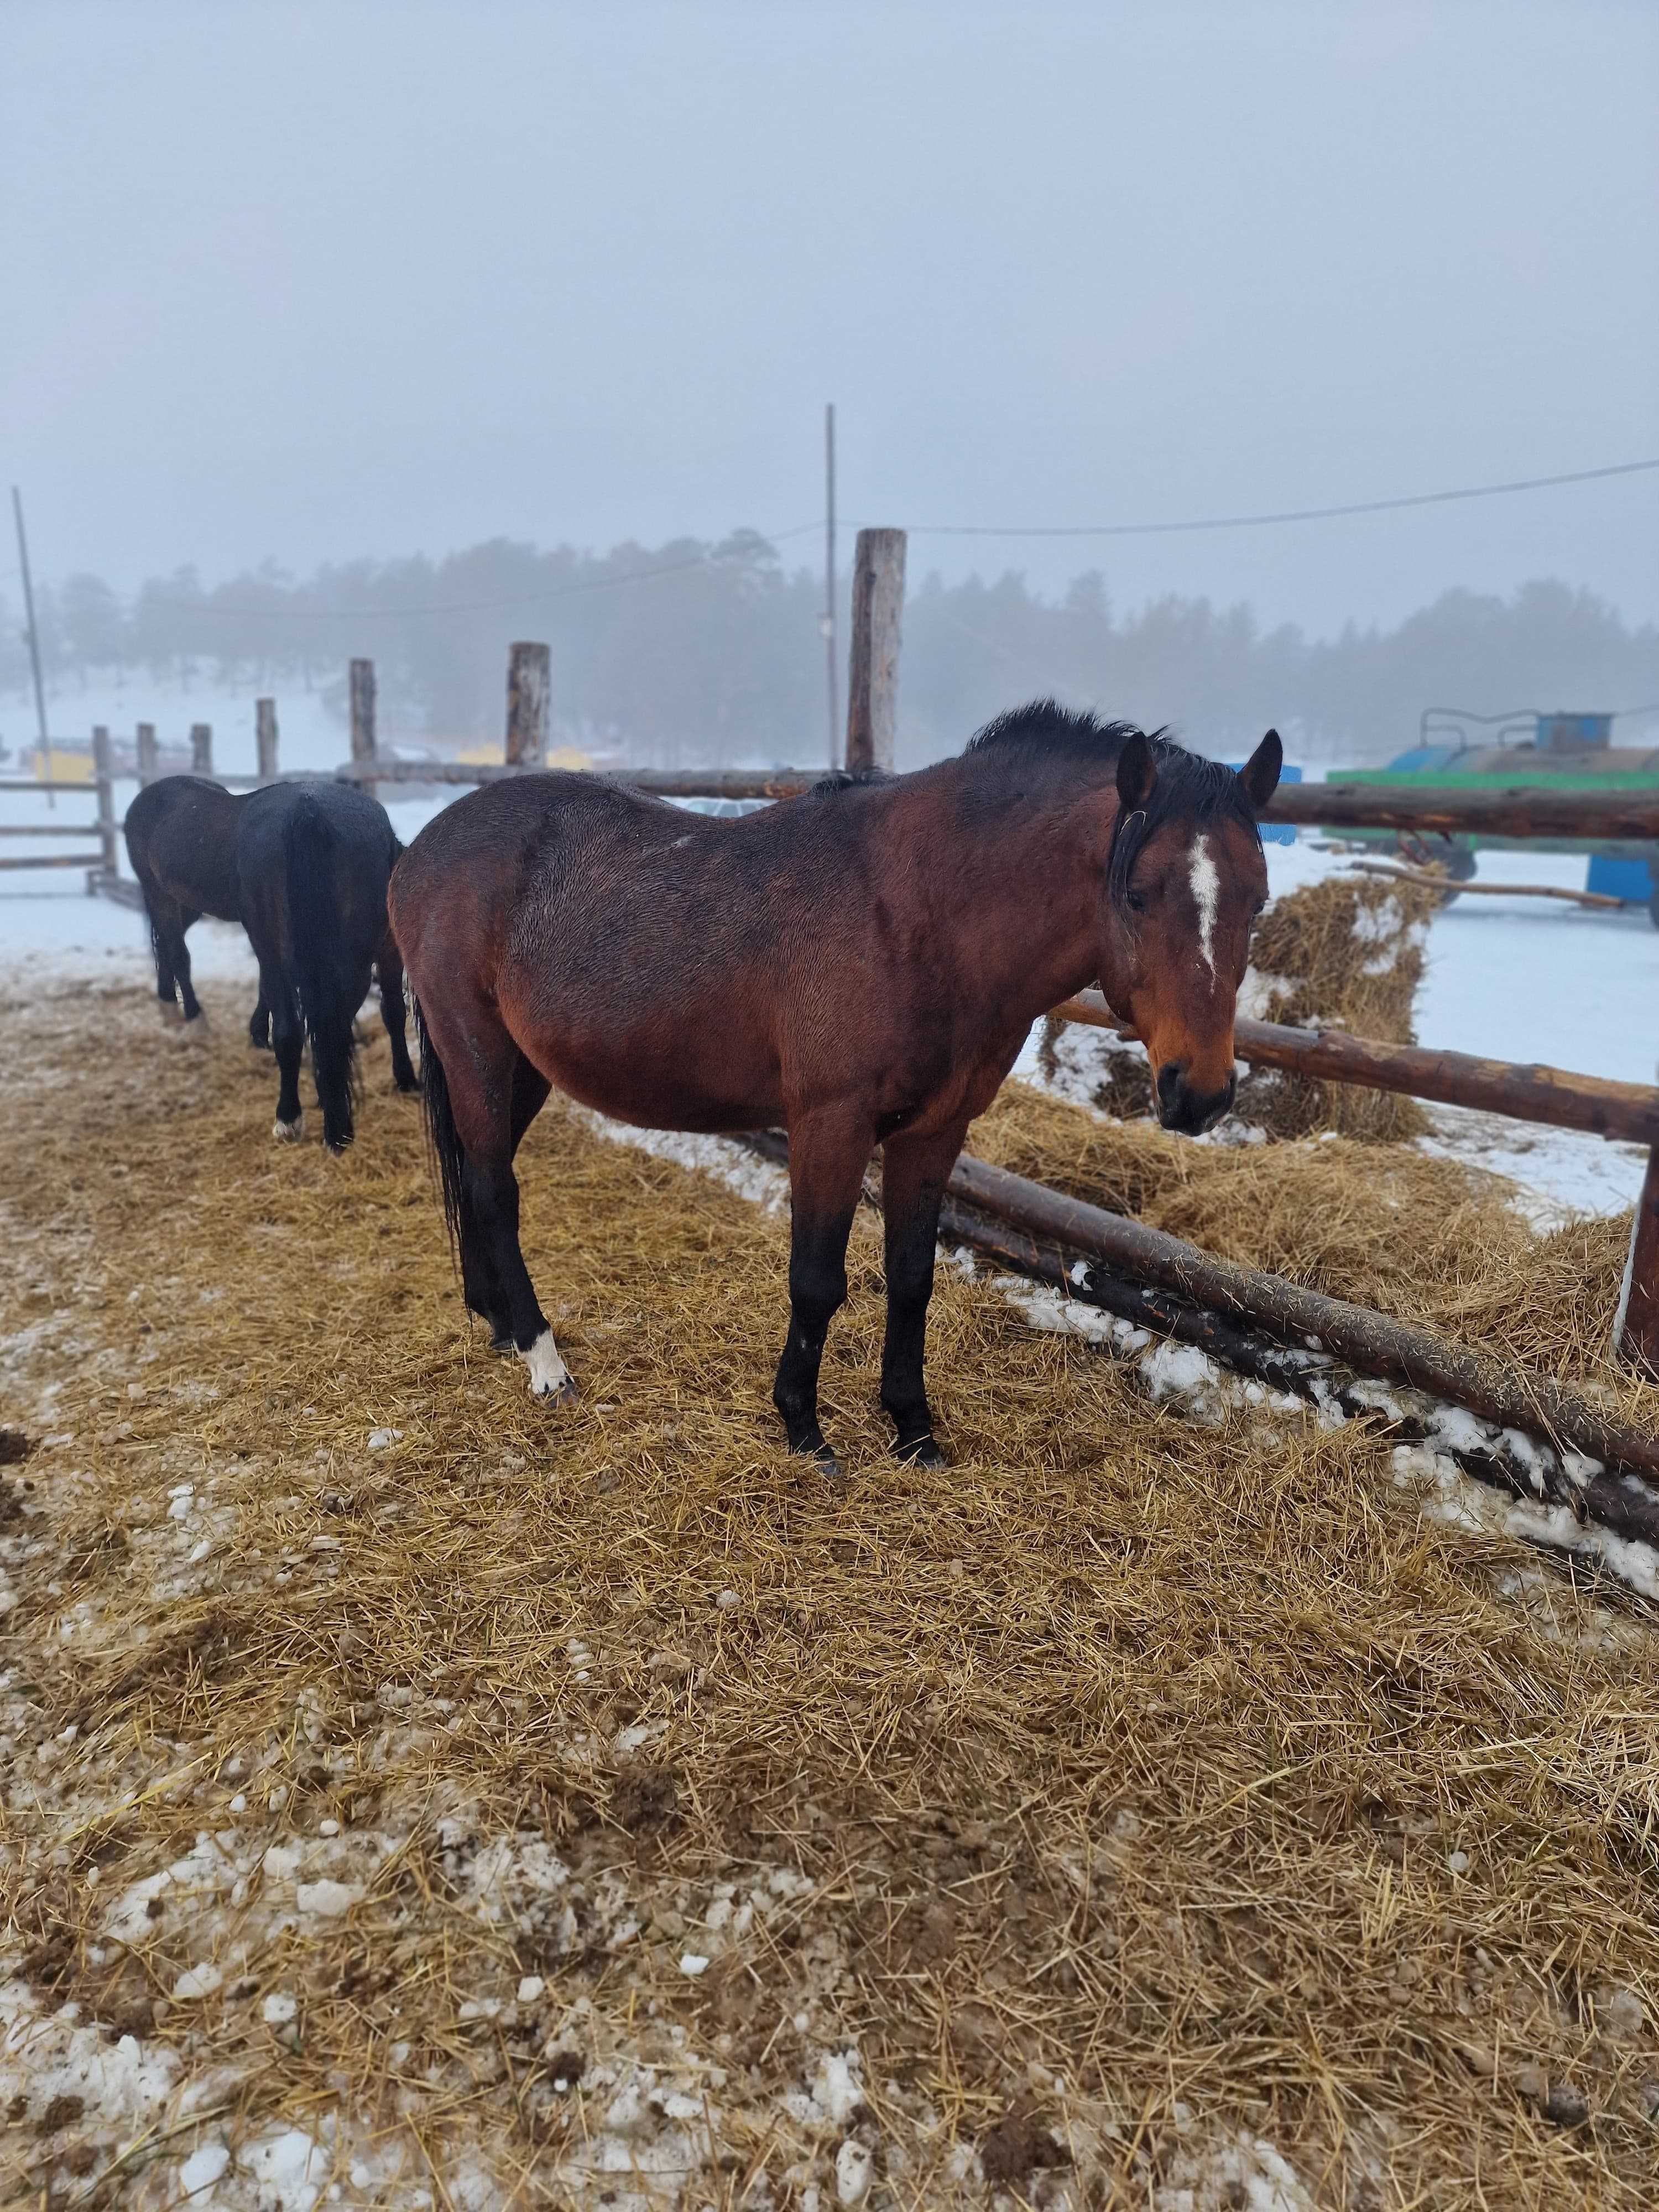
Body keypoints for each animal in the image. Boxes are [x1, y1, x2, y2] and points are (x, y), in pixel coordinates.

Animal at [237, 779, 418, 1150]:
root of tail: (307, 810)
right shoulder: (389, 951)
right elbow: (393, 1012)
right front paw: (405, 1078)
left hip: (273, 953)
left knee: (293, 1031)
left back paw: (291, 1117)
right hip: (352, 965)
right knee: (334, 1026)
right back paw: (337, 1126)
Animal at [394, 708, 1283, 1469]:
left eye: (1258, 901)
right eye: (1137, 894)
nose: (1199, 1093)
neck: (918, 911)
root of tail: (424, 846)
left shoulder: (935, 1133)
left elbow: (913, 1280)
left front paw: (914, 1429)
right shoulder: (831, 1125)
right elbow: (817, 1282)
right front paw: (804, 1429)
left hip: (523, 1069)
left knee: (478, 1177)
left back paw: (496, 1320)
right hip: (476, 1050)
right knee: (496, 1190)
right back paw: (544, 1361)